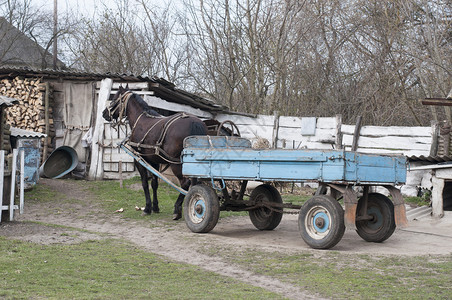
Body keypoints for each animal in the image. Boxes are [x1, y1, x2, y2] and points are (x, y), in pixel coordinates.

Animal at [101, 85, 207, 219]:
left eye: (114, 99)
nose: (104, 113)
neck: (140, 121)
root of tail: (195, 122)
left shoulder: (140, 160)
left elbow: (145, 183)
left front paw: (147, 208)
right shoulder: (154, 161)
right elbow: (154, 184)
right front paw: (155, 207)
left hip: (176, 164)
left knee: (185, 183)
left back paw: (177, 209)